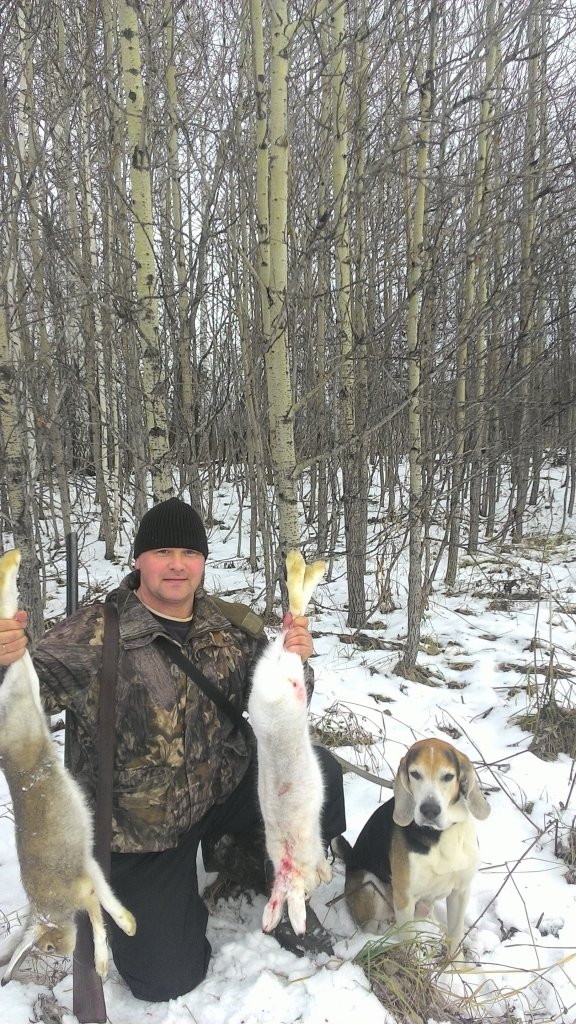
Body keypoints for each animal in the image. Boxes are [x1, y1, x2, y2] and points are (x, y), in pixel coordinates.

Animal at [333, 738, 490, 954]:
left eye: (448, 776)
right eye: (415, 774)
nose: (430, 810)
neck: (439, 834)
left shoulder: (460, 892)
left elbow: (456, 935)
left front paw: (456, 961)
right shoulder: (404, 898)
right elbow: (409, 943)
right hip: (370, 885)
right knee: (375, 927)